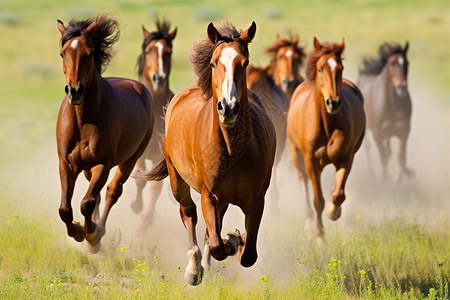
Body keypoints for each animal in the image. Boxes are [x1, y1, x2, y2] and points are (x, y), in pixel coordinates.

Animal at [55, 14, 154, 253]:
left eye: (89, 53)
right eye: (63, 53)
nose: (74, 91)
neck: (83, 120)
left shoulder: (103, 164)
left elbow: (87, 202)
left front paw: (91, 235)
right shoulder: (66, 163)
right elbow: (65, 208)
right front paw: (78, 231)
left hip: (130, 160)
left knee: (111, 191)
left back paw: (98, 231)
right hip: (87, 167)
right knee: (98, 195)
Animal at [141, 21, 274, 286]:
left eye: (245, 63)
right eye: (214, 63)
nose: (228, 107)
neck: (233, 149)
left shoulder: (256, 199)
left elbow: (248, 255)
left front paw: (235, 239)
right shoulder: (209, 196)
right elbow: (217, 245)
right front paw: (229, 241)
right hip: (178, 181)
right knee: (189, 214)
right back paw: (194, 268)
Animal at [288, 37, 366, 244]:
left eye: (340, 68)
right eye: (320, 69)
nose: (333, 103)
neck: (327, 124)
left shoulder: (346, 157)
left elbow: (338, 195)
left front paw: (334, 212)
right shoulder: (312, 162)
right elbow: (318, 201)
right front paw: (320, 238)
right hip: (296, 154)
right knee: (303, 181)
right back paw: (308, 221)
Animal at [356, 41, 414, 180]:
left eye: (407, 63)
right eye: (392, 63)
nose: (402, 87)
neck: (393, 105)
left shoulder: (404, 131)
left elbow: (401, 159)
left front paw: (404, 176)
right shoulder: (377, 133)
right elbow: (383, 159)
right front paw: (385, 181)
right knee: (368, 149)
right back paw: (372, 176)